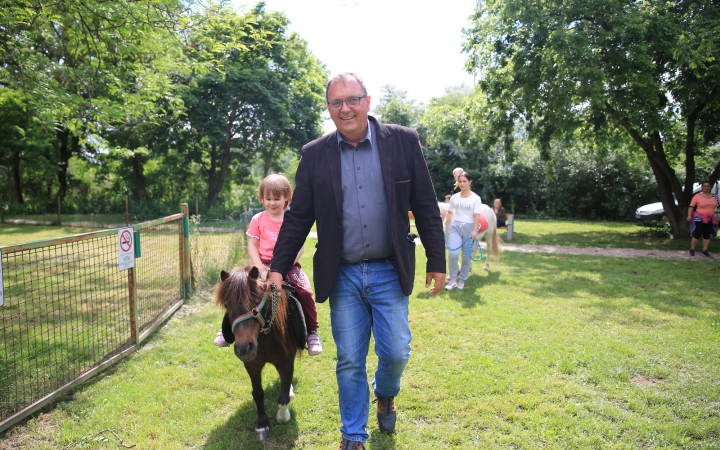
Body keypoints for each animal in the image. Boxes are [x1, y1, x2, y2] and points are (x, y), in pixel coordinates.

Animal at [214, 266, 304, 442]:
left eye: (255, 300)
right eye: (227, 305)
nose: (243, 349)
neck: (264, 338)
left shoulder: (286, 363)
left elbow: (283, 399)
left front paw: (283, 416)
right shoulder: (252, 365)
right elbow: (258, 394)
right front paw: (262, 424)